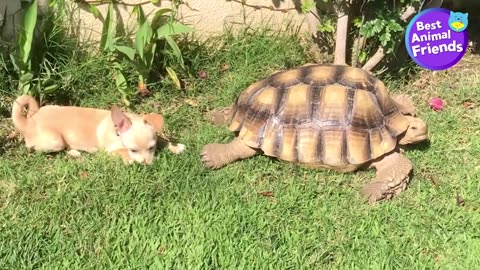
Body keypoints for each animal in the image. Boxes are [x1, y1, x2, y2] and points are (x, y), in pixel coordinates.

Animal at [12, 95, 186, 163]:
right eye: (133, 150)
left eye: (151, 148)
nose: (147, 164)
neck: (117, 132)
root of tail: (29, 121)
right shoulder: (110, 151)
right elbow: (121, 152)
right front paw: (129, 159)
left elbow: (163, 140)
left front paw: (175, 147)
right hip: (55, 141)